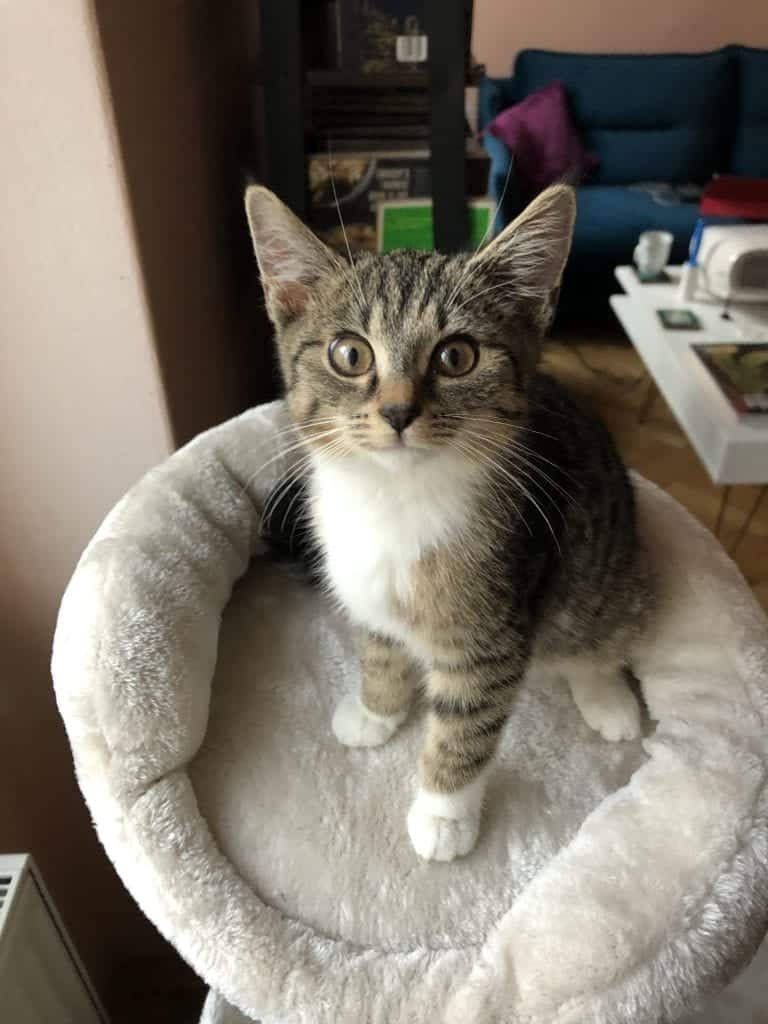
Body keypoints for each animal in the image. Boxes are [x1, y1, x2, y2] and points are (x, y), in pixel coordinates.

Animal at [246, 186, 655, 864]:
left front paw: (443, 813)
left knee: (595, 640)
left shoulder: (493, 631)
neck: (393, 499)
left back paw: (608, 699)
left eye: (456, 356)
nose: (397, 411)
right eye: (349, 353)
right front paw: (377, 711)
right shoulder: (367, 594)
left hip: (614, 581)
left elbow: (466, 724)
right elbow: (380, 650)